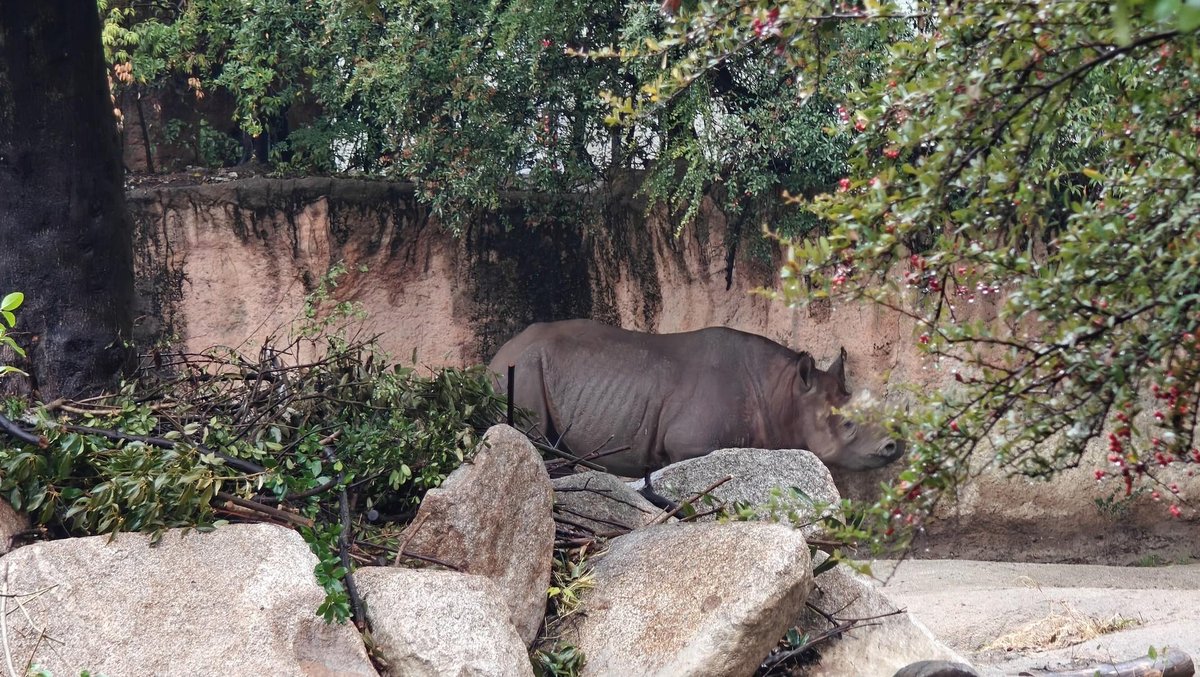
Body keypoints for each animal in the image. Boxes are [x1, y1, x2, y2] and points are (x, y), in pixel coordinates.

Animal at [488, 319, 904, 478]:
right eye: (847, 424)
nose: (894, 447)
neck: (783, 393)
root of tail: (494, 356)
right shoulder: (688, 445)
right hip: (519, 370)